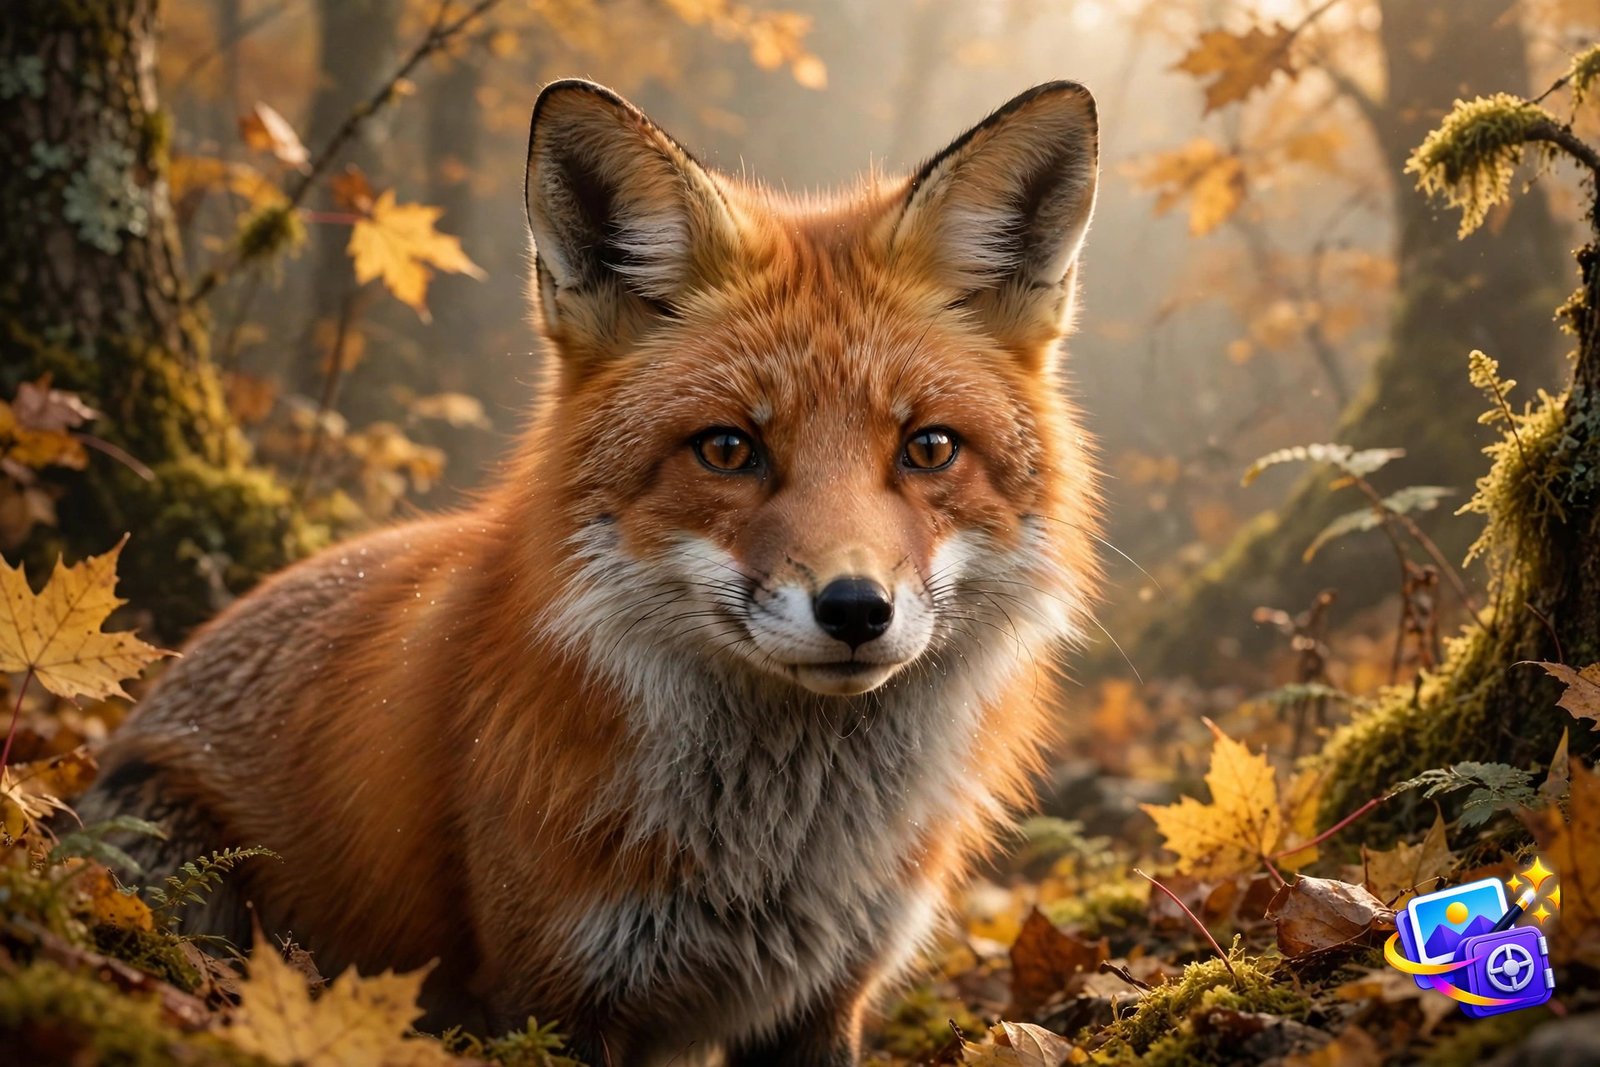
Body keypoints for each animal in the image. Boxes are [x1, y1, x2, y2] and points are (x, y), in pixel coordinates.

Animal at [79, 78, 1103, 1065]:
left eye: (929, 447)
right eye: (727, 449)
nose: (856, 608)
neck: (780, 857)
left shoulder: (824, 999)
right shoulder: (551, 991)